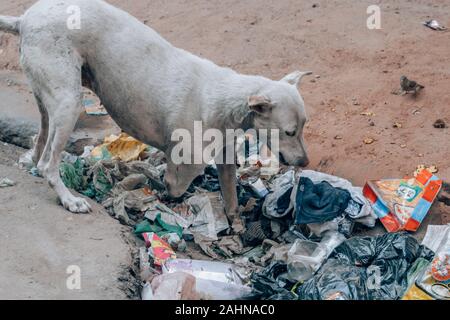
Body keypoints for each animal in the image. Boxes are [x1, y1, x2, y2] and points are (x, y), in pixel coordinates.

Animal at [0, 0, 312, 231]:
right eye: (289, 131)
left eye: (303, 127)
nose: (305, 163)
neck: (226, 101)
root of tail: (24, 18)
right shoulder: (185, 165)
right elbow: (175, 187)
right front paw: (167, 202)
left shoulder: (225, 157)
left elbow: (231, 193)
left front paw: (236, 223)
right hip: (69, 101)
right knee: (48, 164)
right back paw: (69, 199)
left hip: (49, 98)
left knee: (40, 141)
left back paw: (31, 162)